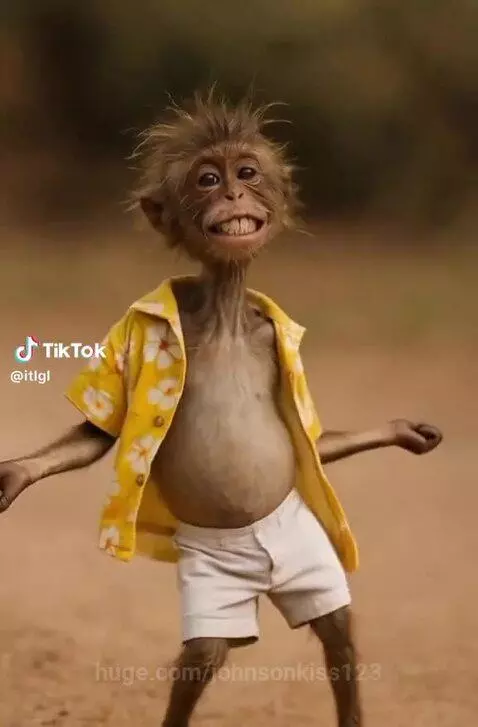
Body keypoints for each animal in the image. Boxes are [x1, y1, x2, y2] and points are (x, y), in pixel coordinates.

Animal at [0, 91, 443, 727]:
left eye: (247, 173)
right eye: (208, 180)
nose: (233, 196)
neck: (226, 313)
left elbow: (311, 439)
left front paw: (404, 431)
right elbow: (97, 433)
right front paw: (18, 473)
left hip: (309, 557)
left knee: (335, 628)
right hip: (218, 590)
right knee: (207, 651)